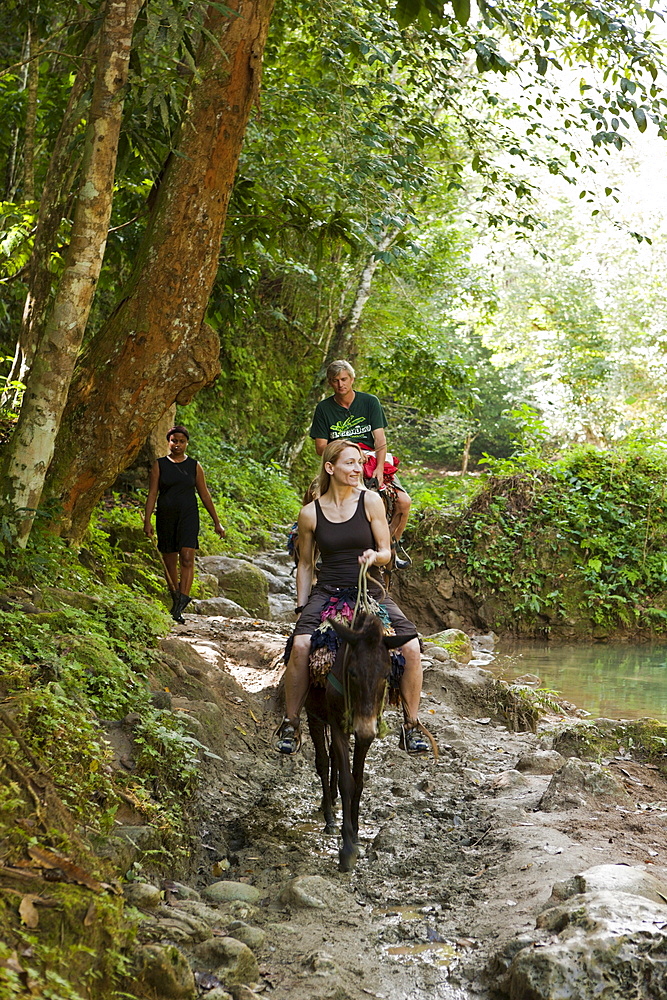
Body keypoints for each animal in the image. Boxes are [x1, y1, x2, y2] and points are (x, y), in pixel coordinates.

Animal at [306, 604, 404, 872]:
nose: (365, 728)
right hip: (313, 717)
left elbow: (358, 781)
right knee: (323, 762)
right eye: (352, 673)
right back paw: (329, 817)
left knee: (332, 759)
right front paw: (347, 847)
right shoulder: (340, 727)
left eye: (386, 674)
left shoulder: (364, 735)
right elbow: (347, 782)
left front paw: (357, 834)